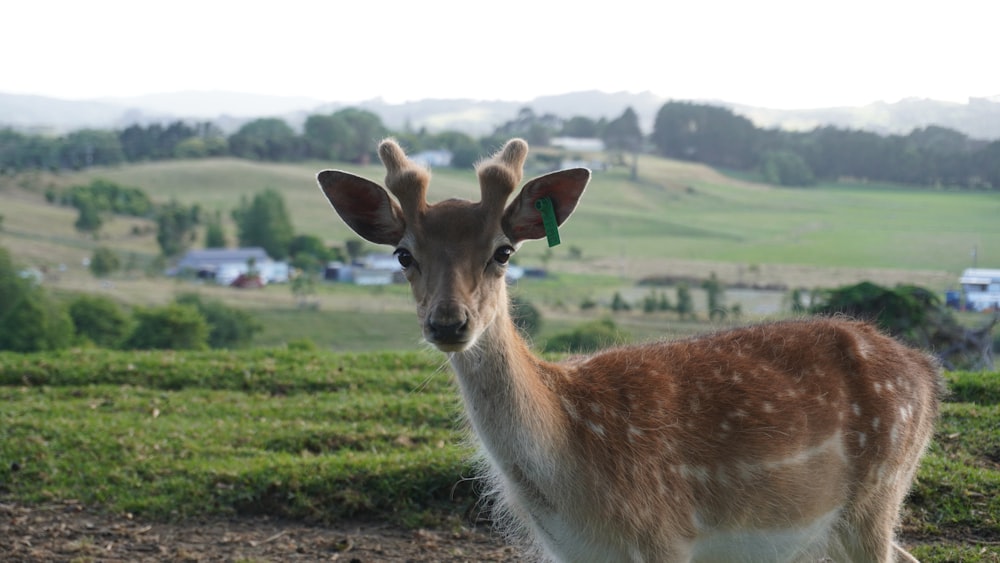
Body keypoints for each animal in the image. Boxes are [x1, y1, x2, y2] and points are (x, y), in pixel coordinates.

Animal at [316, 138, 940, 563]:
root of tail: (928, 374)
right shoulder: (570, 554)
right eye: (403, 254)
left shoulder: (664, 536)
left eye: (502, 251)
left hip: (878, 493)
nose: (448, 322)